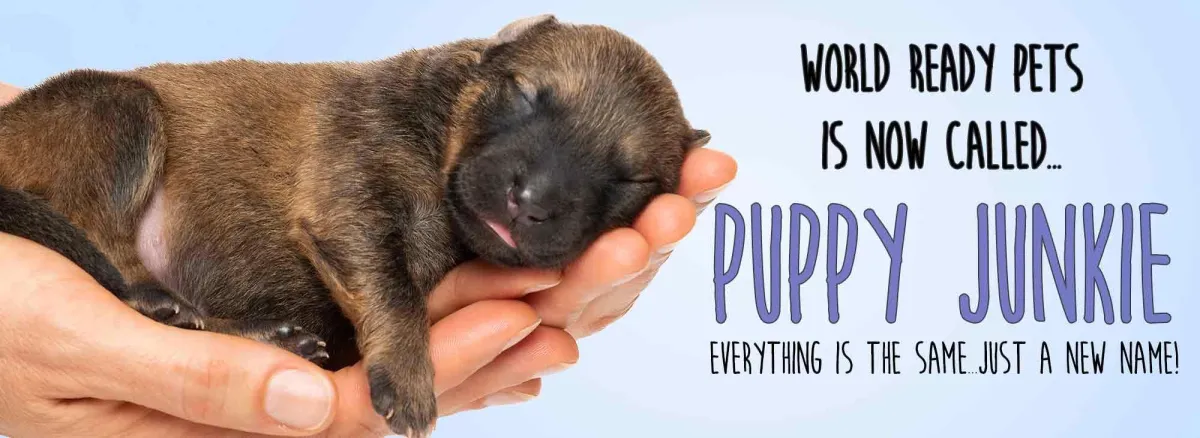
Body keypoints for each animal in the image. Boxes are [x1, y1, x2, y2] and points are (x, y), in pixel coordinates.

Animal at [0, 13, 705, 434]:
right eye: (527, 93)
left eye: (632, 181)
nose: (529, 200)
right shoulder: (351, 191)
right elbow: (391, 284)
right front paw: (408, 378)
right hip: (118, 112)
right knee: (109, 256)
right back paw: (165, 303)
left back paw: (267, 337)